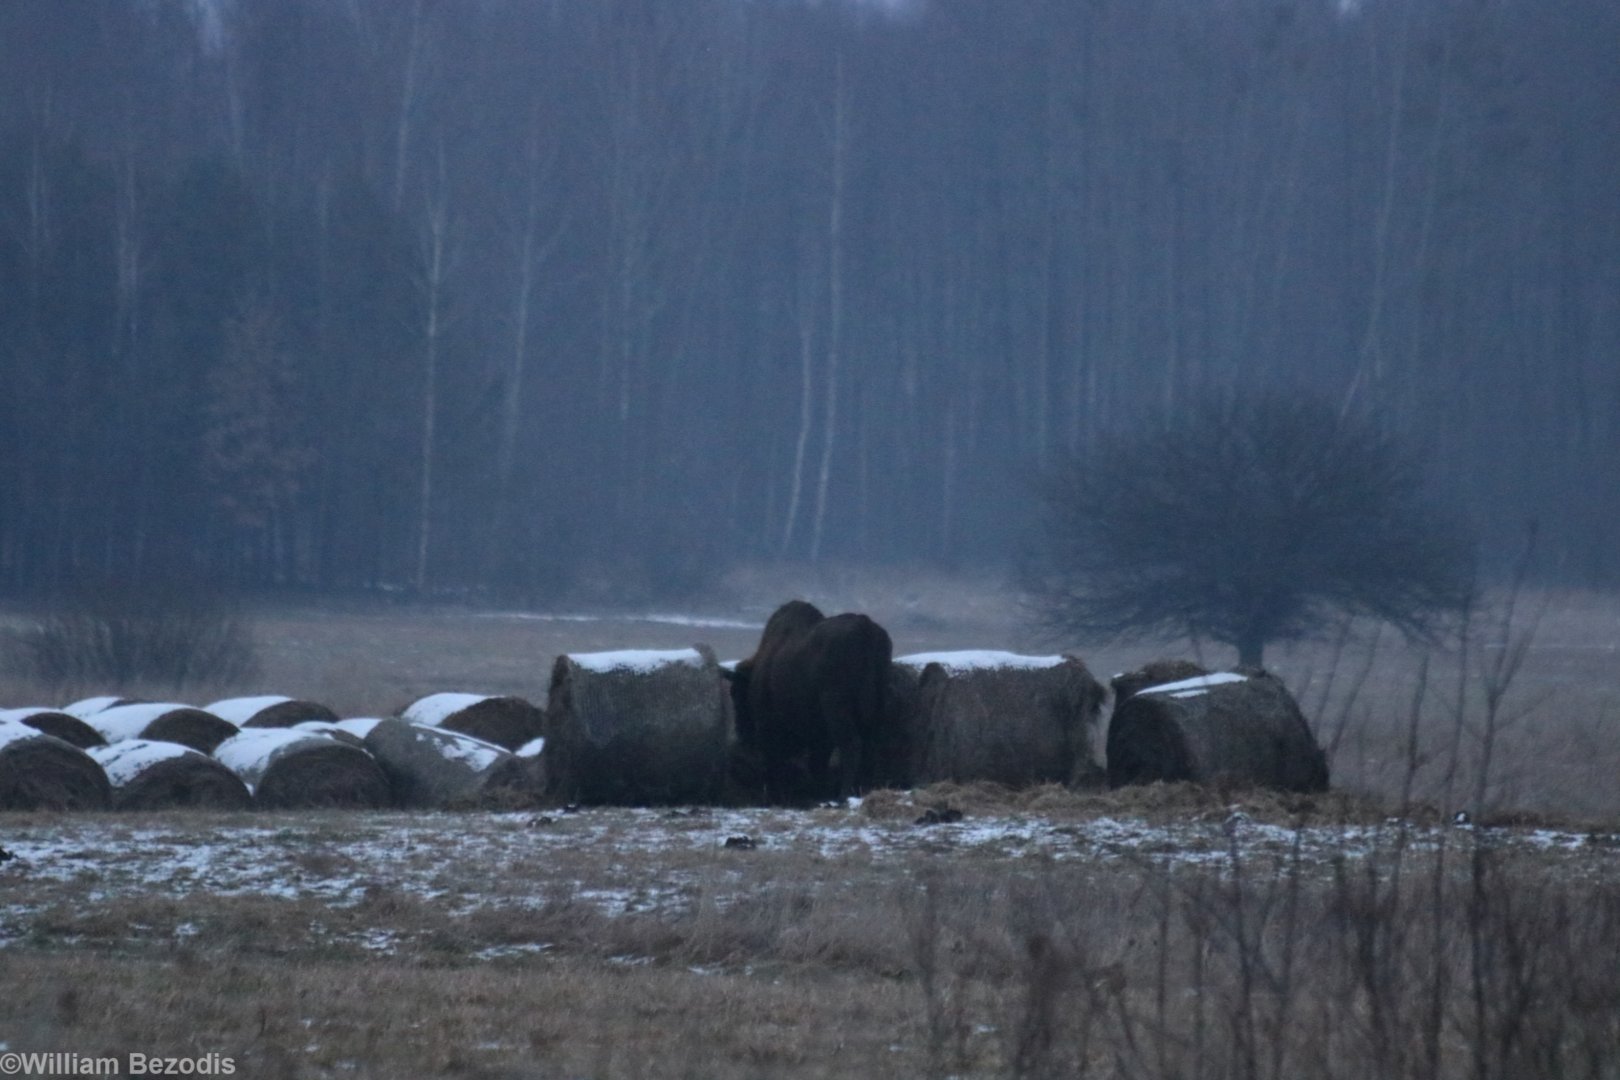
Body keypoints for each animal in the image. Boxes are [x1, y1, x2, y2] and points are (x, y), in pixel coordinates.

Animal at [725, 600, 897, 803]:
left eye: (736, 693)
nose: (742, 734)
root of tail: (865, 627)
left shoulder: (768, 728)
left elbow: (775, 763)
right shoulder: (819, 737)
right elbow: (816, 764)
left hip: (836, 707)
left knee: (851, 745)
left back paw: (844, 795)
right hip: (876, 707)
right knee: (870, 747)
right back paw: (862, 790)